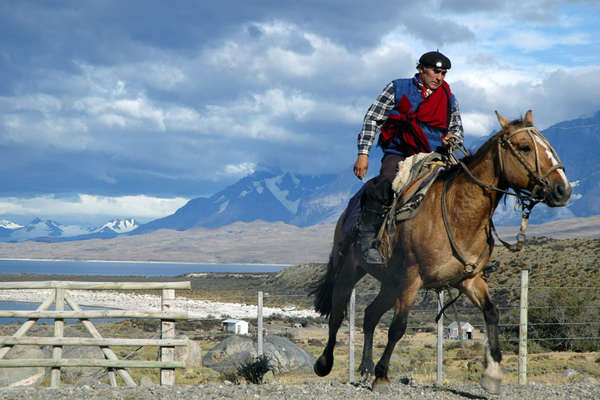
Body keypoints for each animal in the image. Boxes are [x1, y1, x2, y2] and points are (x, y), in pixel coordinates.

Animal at [310, 110, 572, 394]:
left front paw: (492, 375)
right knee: (337, 313)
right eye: (525, 147)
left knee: (370, 315)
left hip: (391, 283)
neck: (459, 214)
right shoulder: (412, 279)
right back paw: (326, 363)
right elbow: (398, 328)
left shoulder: (469, 279)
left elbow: (492, 313)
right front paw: (382, 376)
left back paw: (366, 368)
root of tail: (349, 209)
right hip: (351, 269)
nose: (563, 190)